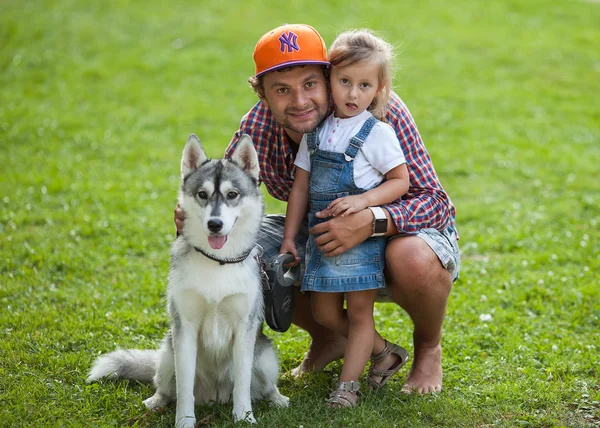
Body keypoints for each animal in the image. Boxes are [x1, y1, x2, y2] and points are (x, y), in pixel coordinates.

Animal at [86, 134, 288, 424]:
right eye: (202, 194)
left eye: (232, 195)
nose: (215, 224)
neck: (218, 262)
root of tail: (215, 396)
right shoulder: (185, 330)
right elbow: (184, 388)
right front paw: (184, 421)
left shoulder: (244, 330)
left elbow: (242, 384)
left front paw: (244, 418)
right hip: (167, 353)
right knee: (166, 387)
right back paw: (156, 401)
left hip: (266, 358)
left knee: (264, 385)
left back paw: (277, 398)